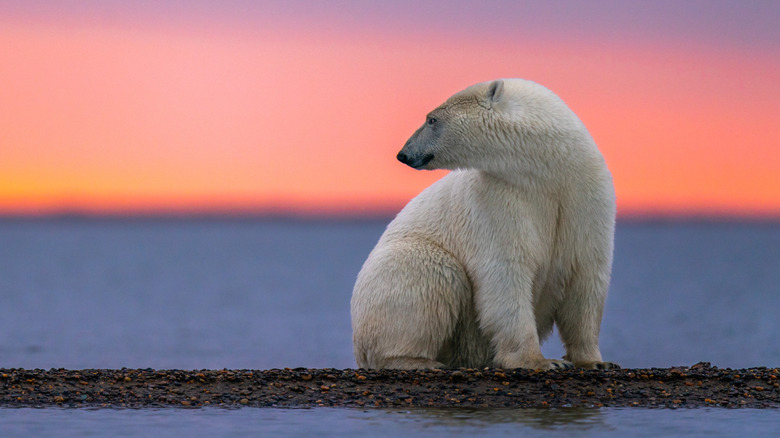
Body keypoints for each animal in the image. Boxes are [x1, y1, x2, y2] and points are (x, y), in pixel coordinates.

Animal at [350, 79, 618, 370]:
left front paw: (595, 361)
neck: (548, 173)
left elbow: (586, 277)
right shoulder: (497, 200)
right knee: (431, 272)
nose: (404, 153)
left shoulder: (585, 197)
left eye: (432, 119)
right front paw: (540, 361)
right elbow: (506, 273)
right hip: (400, 270)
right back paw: (416, 360)